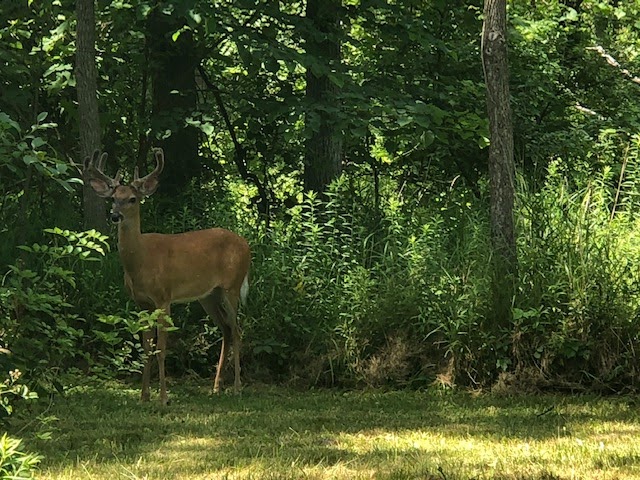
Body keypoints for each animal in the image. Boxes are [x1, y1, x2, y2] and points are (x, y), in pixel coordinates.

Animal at [86, 148, 251, 404]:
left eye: (132, 199)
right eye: (113, 198)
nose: (115, 216)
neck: (141, 261)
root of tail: (246, 245)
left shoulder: (163, 297)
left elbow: (162, 348)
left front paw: (163, 398)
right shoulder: (141, 302)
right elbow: (146, 348)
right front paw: (144, 397)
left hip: (231, 286)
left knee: (237, 330)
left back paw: (236, 388)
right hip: (209, 295)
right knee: (225, 329)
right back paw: (215, 387)